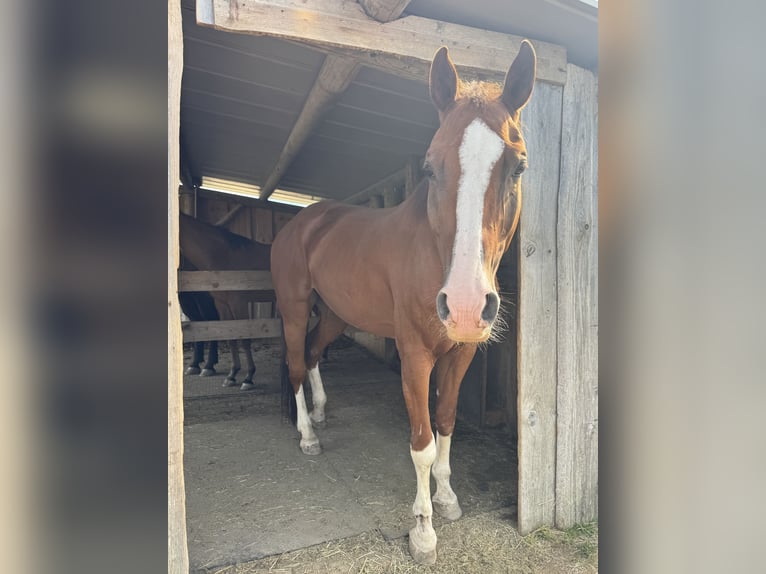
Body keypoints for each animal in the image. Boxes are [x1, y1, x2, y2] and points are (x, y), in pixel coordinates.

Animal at [179, 212, 273, 390]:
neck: (223, 255)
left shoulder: (238, 303)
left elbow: (244, 339)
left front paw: (248, 378)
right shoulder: (222, 305)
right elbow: (230, 338)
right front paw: (232, 375)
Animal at [270, 42, 536, 564]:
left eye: (518, 166)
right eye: (430, 166)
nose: (466, 307)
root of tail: (304, 221)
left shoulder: (461, 354)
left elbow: (448, 423)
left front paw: (448, 500)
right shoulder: (415, 356)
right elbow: (423, 443)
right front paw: (423, 532)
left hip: (336, 314)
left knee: (312, 353)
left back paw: (321, 413)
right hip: (293, 306)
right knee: (292, 361)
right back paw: (308, 435)